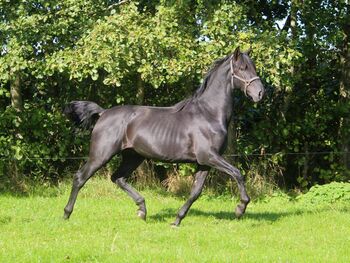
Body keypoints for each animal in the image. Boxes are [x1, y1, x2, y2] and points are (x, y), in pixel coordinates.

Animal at [63, 47, 266, 227]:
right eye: (242, 68)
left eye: (253, 67)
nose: (260, 93)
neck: (210, 114)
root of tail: (103, 113)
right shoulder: (209, 156)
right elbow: (237, 173)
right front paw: (240, 208)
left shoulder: (205, 162)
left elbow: (195, 192)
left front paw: (176, 220)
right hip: (101, 155)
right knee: (80, 178)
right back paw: (66, 214)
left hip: (133, 156)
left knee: (118, 178)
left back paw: (142, 210)